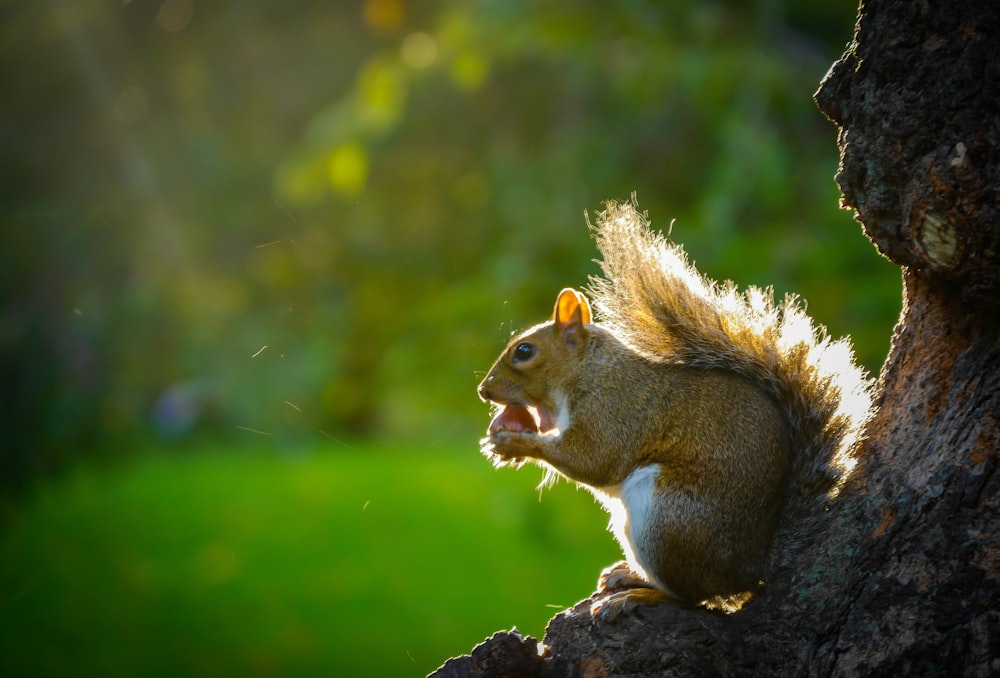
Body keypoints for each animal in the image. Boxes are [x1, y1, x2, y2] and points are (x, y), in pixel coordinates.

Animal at [480, 198, 872, 620]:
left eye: (524, 351)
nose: (483, 391)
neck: (587, 371)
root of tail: (752, 565)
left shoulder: (614, 408)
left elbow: (595, 460)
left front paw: (517, 443)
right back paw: (628, 576)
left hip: (667, 522)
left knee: (693, 596)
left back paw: (640, 594)